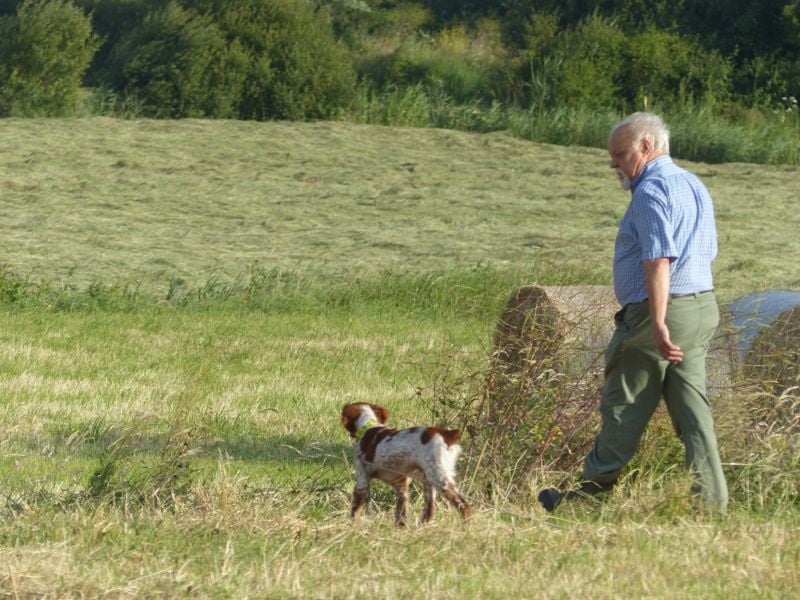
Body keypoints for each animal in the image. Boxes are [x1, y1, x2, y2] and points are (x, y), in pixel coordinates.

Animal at [340, 404, 472, 524]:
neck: (369, 426)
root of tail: (448, 434)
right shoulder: (401, 485)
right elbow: (401, 514)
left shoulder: (362, 481)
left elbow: (355, 511)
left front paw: (353, 527)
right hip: (428, 481)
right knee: (430, 511)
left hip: (439, 477)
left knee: (464, 505)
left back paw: (466, 527)